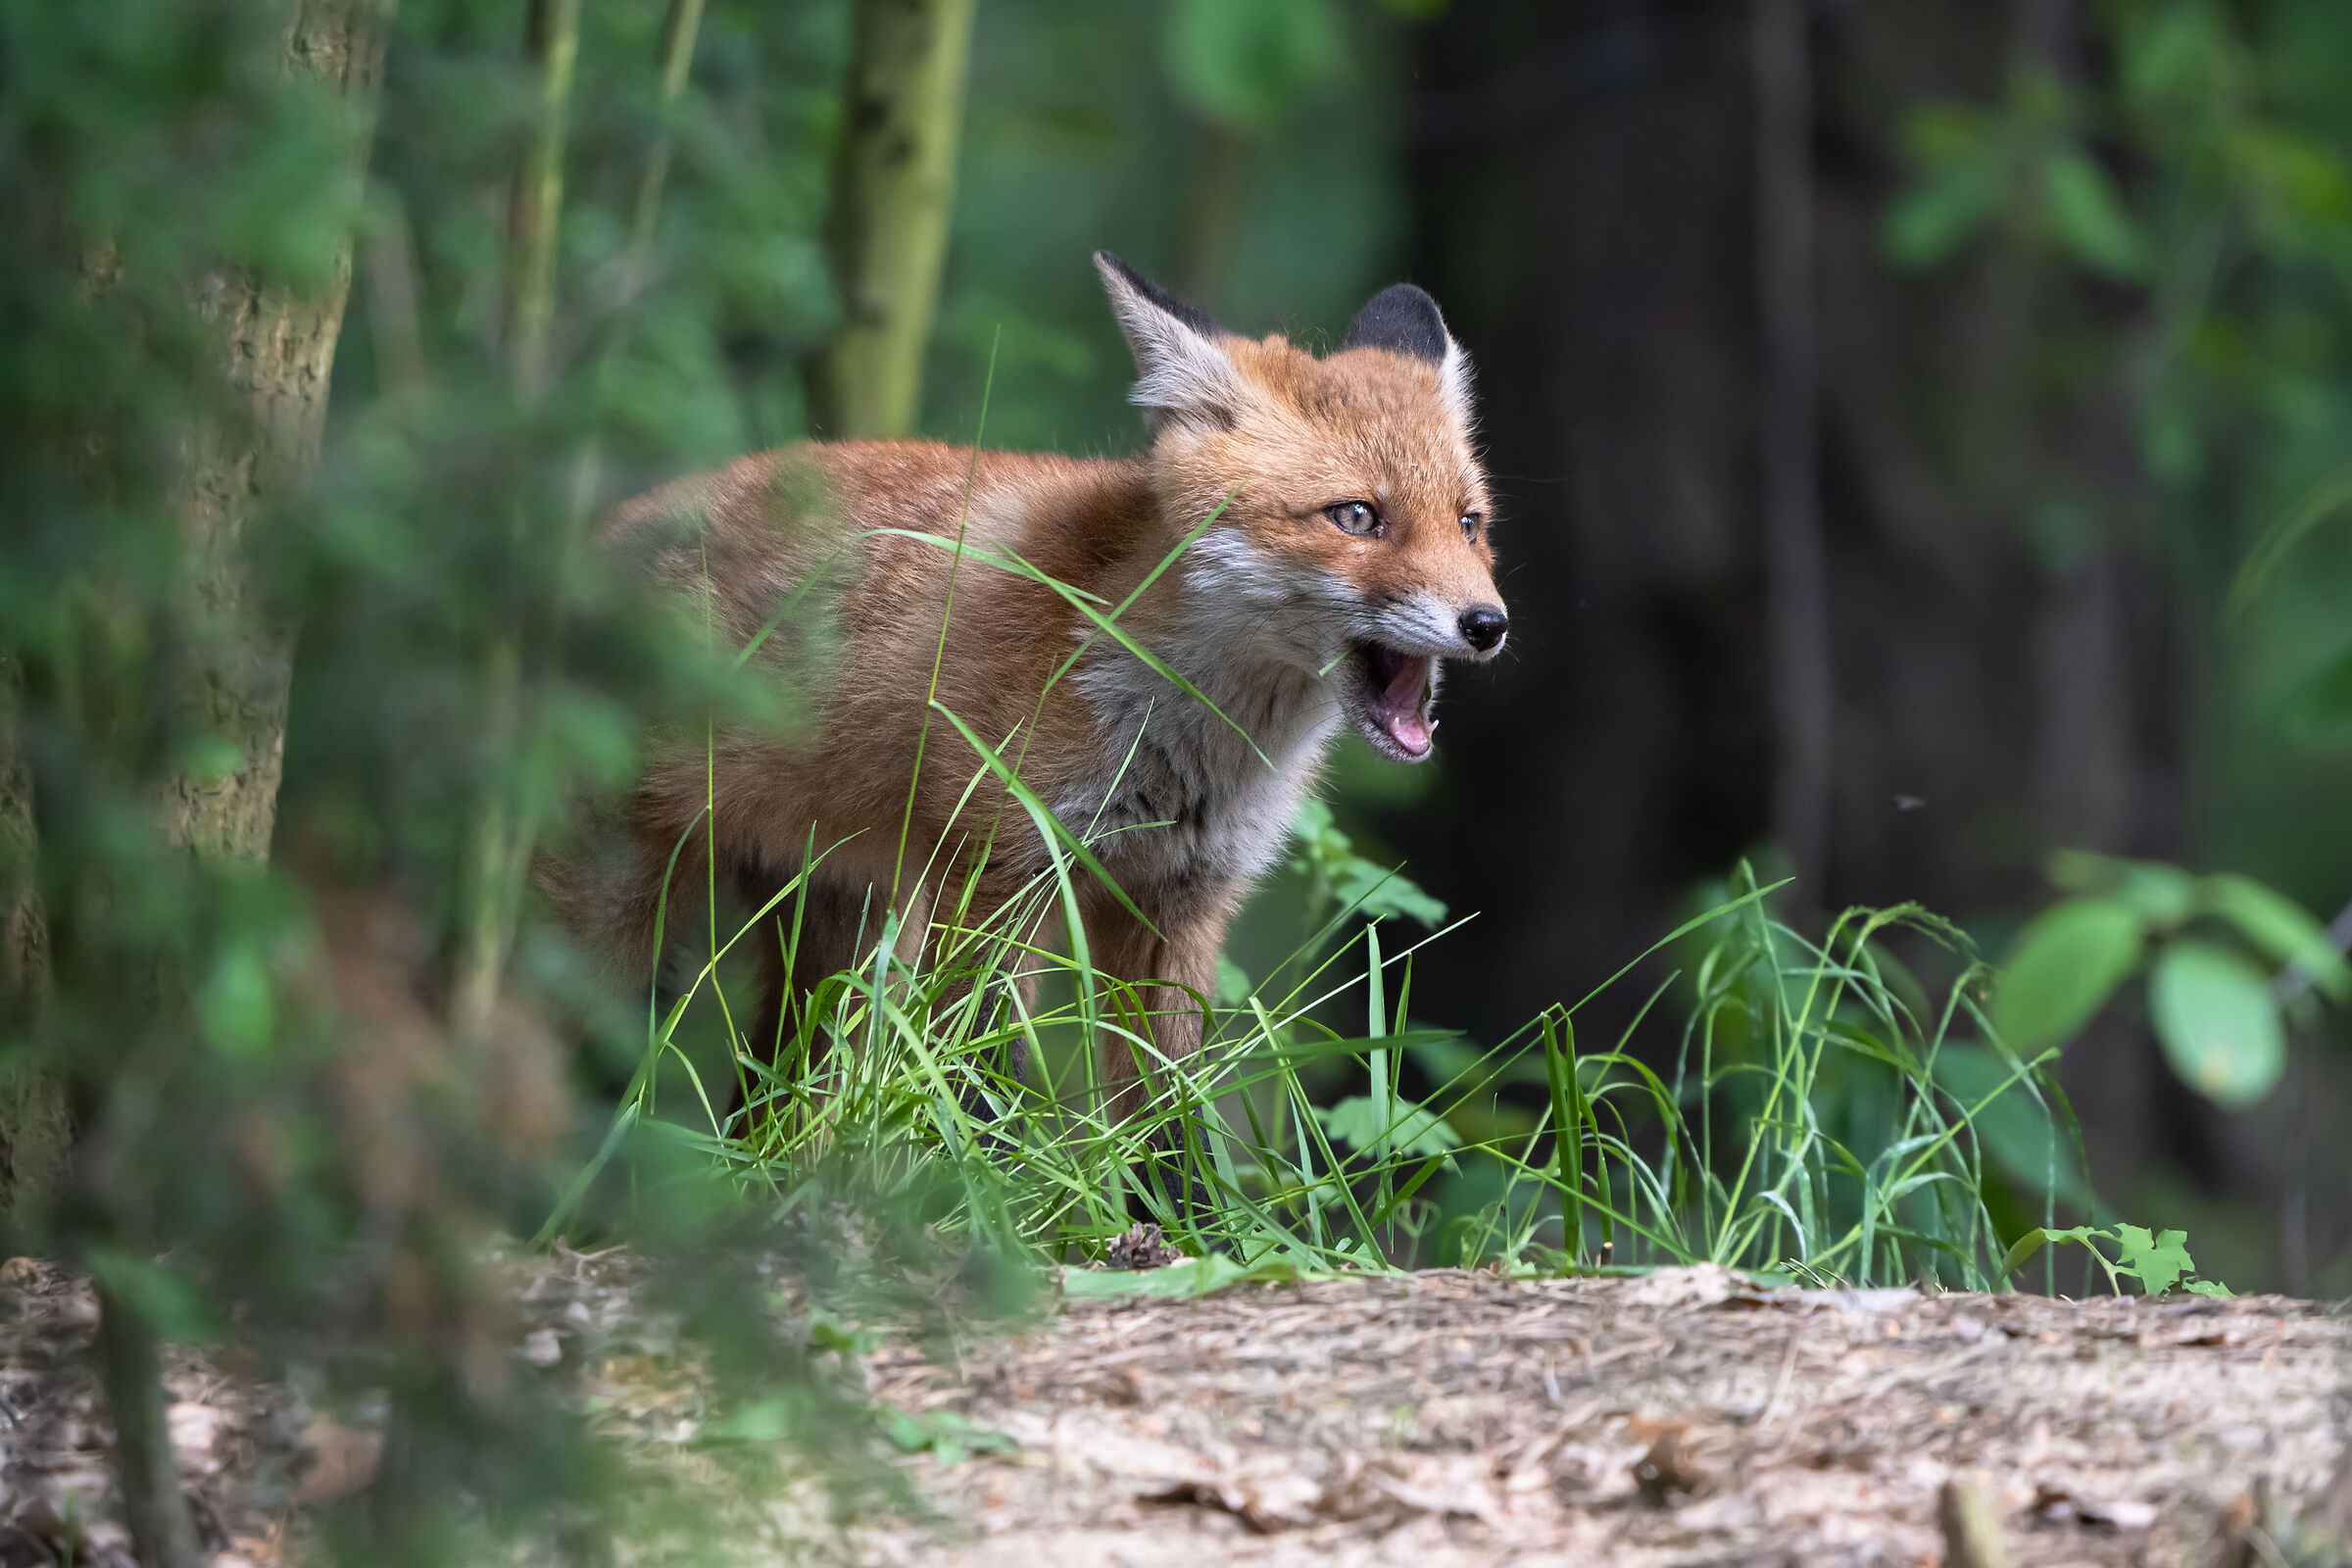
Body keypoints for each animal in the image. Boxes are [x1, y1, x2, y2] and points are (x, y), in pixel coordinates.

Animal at [546, 252, 1506, 1138]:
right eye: (1357, 518)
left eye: (1469, 524)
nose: (1489, 624)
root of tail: (590, 543)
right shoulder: (998, 881)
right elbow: (981, 1107)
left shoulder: (1179, 910)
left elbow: (1170, 1137)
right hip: (614, 926)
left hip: (833, 945)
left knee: (769, 1107)